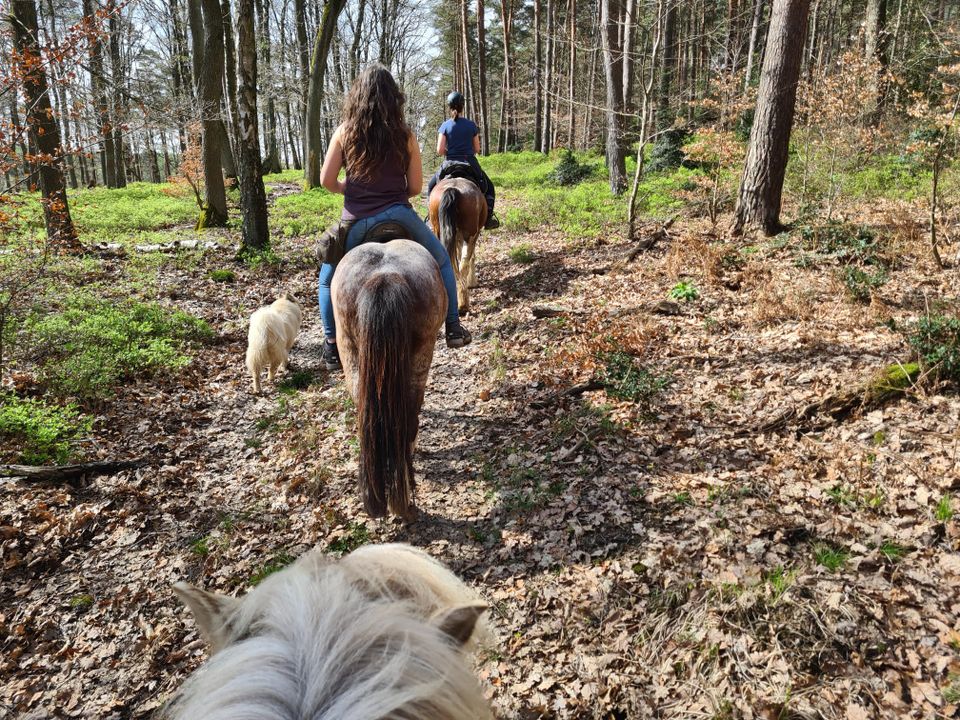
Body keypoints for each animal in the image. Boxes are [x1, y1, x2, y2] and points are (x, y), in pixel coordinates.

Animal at [430, 176, 488, 312]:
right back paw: (463, 304)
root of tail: (453, 189)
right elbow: (471, 257)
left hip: (438, 230)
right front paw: (472, 282)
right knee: (464, 264)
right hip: (470, 234)